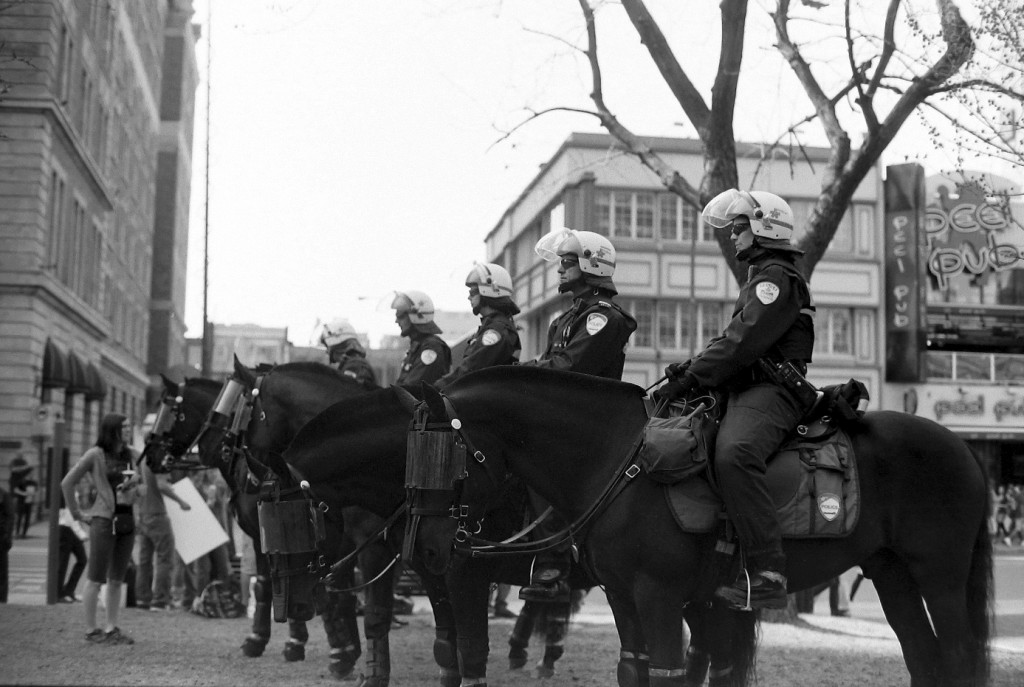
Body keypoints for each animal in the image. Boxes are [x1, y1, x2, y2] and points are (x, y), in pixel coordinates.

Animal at [284, 384, 593, 683]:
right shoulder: (424, 568)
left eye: (297, 523)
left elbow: (470, 647)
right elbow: (436, 642)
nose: (292, 605)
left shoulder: (464, 573)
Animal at [407, 368, 991, 687]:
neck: (617, 456)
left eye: (445, 455)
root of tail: (961, 444)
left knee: (960, 658)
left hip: (939, 575)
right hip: (891, 573)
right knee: (924, 658)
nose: (427, 551)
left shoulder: (659, 596)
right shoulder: (623, 597)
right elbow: (634, 669)